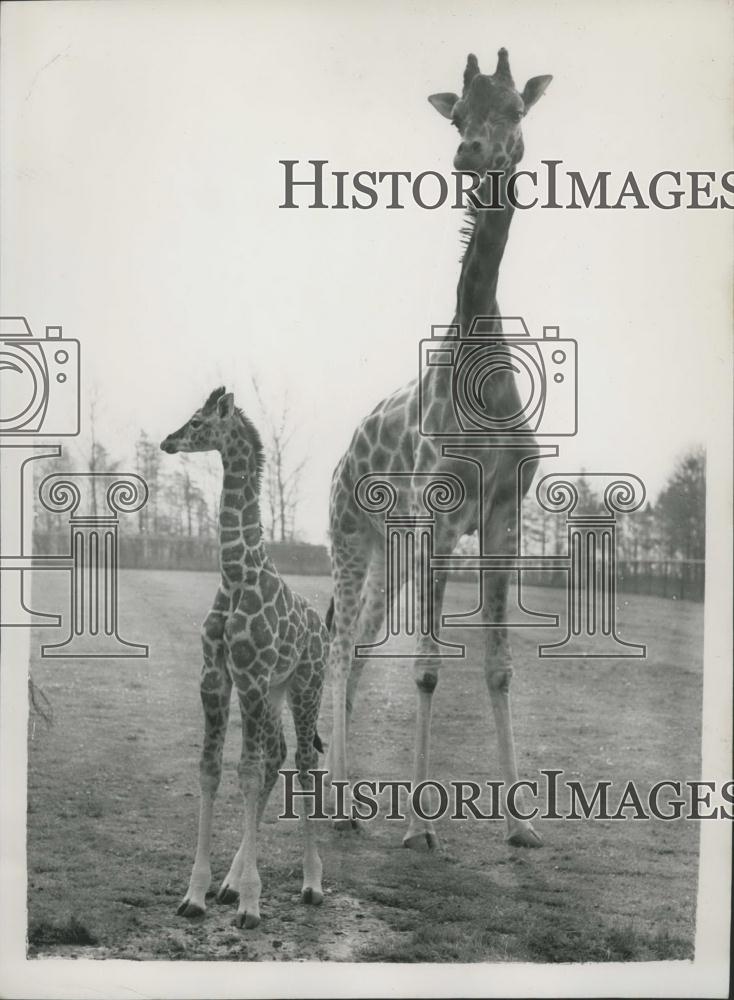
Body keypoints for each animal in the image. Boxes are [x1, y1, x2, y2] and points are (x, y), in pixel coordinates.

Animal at [165, 386, 334, 924]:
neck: (237, 574)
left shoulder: (253, 677)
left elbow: (248, 772)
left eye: (198, 422)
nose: (168, 441)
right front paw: (198, 893)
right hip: (274, 690)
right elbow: (213, 769)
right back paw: (230, 883)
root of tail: (322, 629)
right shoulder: (219, 676)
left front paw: (252, 903)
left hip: (304, 684)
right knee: (277, 756)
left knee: (303, 760)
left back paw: (311, 883)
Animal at [326, 50, 552, 852]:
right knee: (340, 648)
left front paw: (521, 824)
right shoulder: (443, 515)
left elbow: (500, 666)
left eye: (515, 109)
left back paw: (346, 799)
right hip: (350, 537)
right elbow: (425, 670)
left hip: (390, 550)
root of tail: (343, 458)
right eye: (457, 118)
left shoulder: (503, 514)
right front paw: (420, 828)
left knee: (360, 643)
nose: (471, 154)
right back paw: (332, 803)